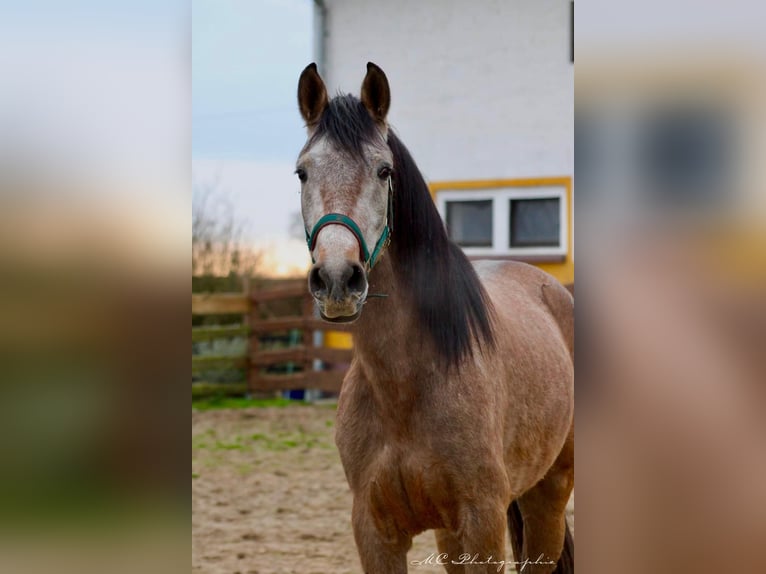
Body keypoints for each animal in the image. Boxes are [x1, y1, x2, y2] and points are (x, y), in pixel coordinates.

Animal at [296, 60, 572, 572]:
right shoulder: (377, 534)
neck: (405, 387)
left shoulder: (482, 524)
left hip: (549, 494)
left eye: (384, 170)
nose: (338, 279)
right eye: (302, 172)